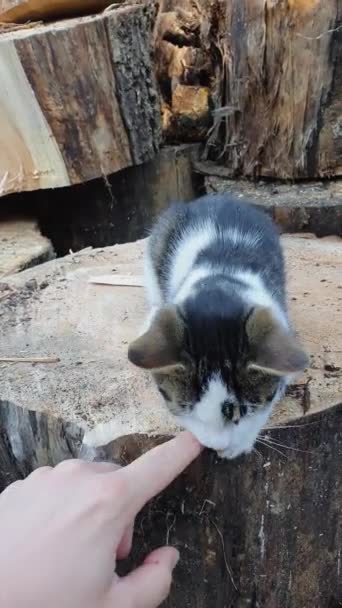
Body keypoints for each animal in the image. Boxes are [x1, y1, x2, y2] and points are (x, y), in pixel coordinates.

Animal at [127, 197, 308, 458]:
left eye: (241, 414)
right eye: (186, 409)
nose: (216, 446)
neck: (221, 281)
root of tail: (221, 196)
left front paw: (239, 444)